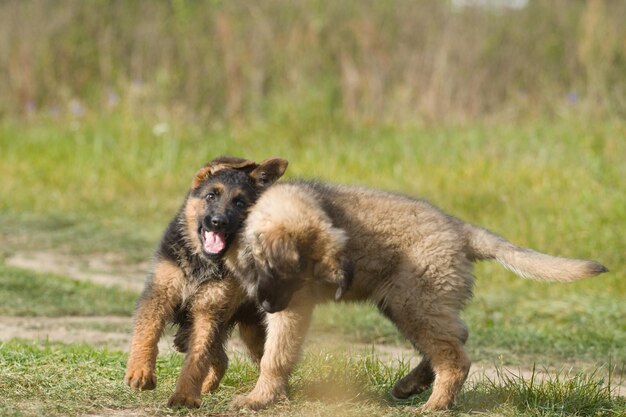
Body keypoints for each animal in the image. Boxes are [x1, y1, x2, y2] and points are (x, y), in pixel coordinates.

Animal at [122, 155, 288, 406]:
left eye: (240, 203)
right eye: (211, 195)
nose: (218, 222)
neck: (201, 261)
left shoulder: (208, 309)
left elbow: (197, 358)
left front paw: (185, 396)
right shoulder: (159, 293)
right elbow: (147, 331)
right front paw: (140, 372)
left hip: (250, 327)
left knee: (255, 358)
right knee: (220, 357)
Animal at [228, 180, 604, 412]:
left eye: (293, 276)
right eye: (271, 268)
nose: (267, 305)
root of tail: (460, 229)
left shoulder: (294, 307)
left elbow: (275, 354)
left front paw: (258, 398)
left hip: (413, 303)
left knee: (454, 356)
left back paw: (435, 404)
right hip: (413, 303)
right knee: (455, 337)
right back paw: (412, 385)